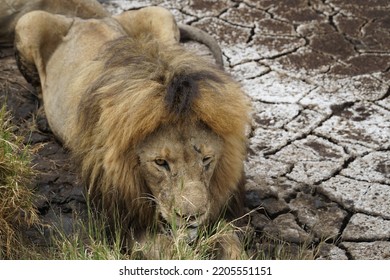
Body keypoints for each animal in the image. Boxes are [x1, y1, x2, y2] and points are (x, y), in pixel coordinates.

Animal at [3, 0, 250, 260]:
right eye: (160, 163)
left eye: (206, 159)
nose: (191, 216)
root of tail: (87, 18)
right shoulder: (125, 223)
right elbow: (170, 252)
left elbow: (232, 243)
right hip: (29, 23)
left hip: (161, 14)